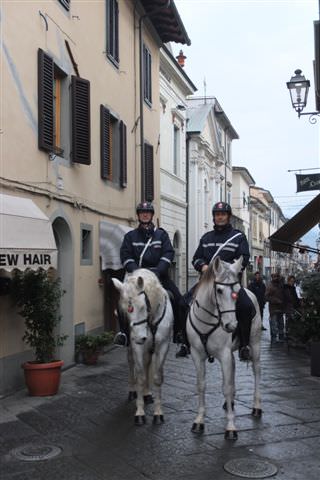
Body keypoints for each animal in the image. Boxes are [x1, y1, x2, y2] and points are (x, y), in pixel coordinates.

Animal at [112, 268, 172, 426]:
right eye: (124, 311)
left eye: (143, 306)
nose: (140, 338)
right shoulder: (137, 347)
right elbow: (140, 376)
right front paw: (139, 413)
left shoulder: (163, 346)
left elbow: (157, 377)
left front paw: (158, 413)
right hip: (131, 348)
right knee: (132, 364)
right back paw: (133, 391)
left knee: (147, 364)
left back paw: (147, 393)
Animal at [186, 256, 262, 440]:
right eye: (219, 290)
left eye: (236, 291)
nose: (231, 325)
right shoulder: (197, 355)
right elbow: (201, 385)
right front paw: (199, 420)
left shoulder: (224, 355)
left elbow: (226, 387)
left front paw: (231, 427)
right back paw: (231, 403)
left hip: (255, 344)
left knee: (257, 371)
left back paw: (256, 406)